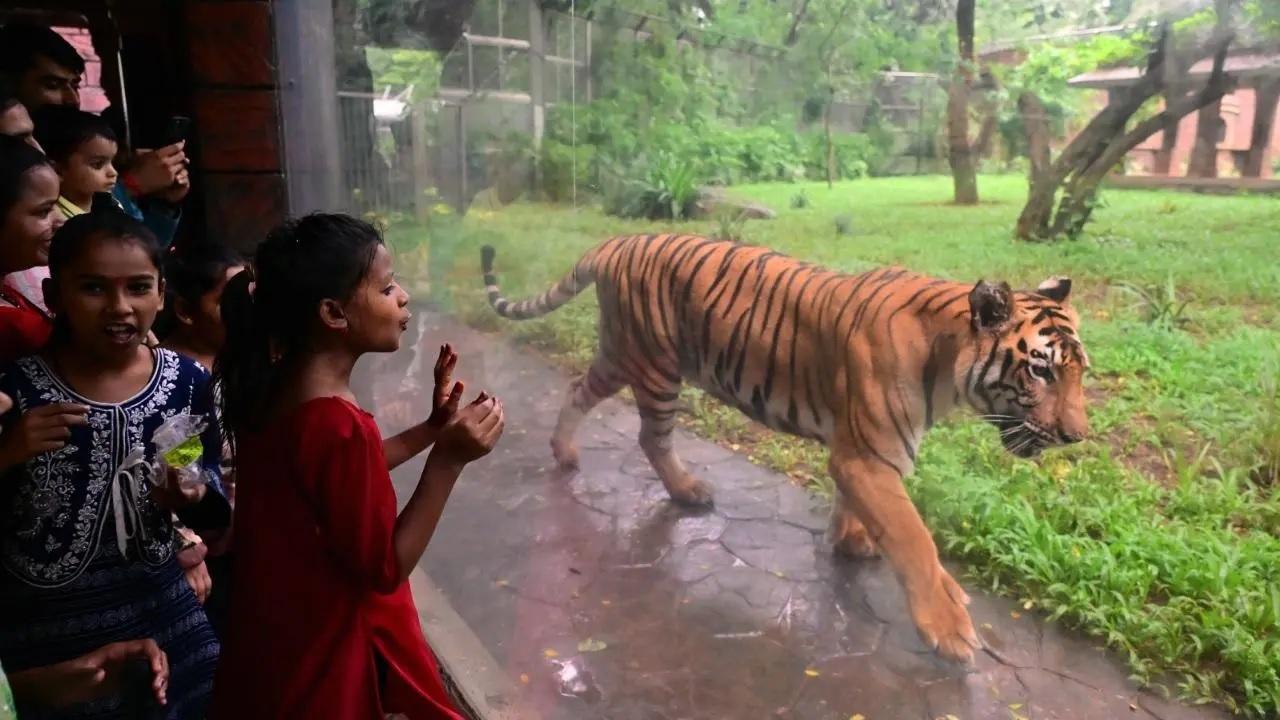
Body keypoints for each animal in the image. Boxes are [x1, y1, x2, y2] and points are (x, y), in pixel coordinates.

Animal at [480, 234, 1089, 663]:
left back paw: (564, 452)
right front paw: (948, 627)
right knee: (649, 435)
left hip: (619, 355)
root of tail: (616, 242)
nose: (1076, 436)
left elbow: (864, 510)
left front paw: (851, 540)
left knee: (576, 389)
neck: (947, 368)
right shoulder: (866, 453)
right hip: (653, 365)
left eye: (1081, 372)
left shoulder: (860, 450)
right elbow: (914, 538)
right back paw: (686, 490)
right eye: (1041, 371)